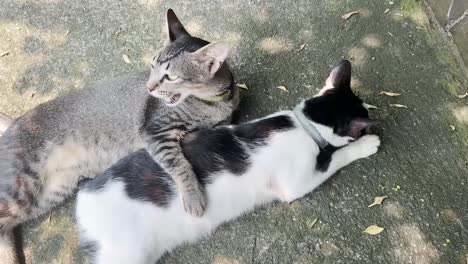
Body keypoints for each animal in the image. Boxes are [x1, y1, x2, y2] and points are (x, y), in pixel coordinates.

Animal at [74, 60, 380, 264]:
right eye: (363, 127)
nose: (370, 130)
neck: (303, 124)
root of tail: (84, 198)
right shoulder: (297, 182)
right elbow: (335, 157)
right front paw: (367, 144)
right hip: (125, 253)